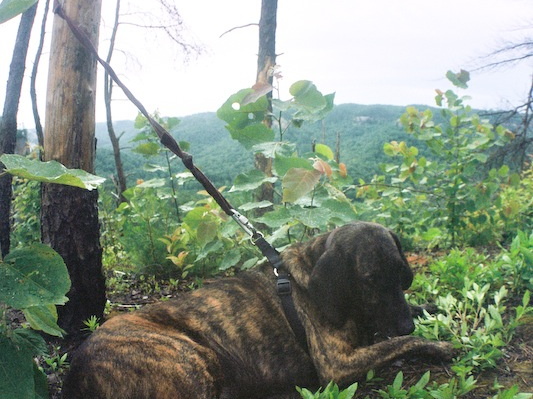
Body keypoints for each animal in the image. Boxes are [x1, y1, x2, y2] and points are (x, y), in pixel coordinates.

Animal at [64, 223, 450, 398]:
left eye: (402, 275)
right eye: (370, 280)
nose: (406, 324)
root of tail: (76, 371)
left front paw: (428, 310)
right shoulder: (336, 364)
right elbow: (396, 345)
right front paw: (438, 344)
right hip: (192, 359)